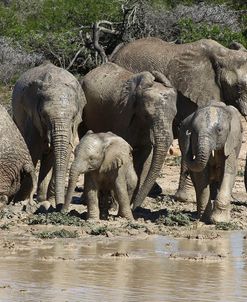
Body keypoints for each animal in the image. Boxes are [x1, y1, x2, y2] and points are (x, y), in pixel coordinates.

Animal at [12, 61, 86, 210]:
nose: (60, 207)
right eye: (44, 115)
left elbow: (65, 151)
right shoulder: (32, 117)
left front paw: (50, 203)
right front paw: (21, 202)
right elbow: (32, 150)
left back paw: (42, 200)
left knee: (49, 158)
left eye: (74, 116)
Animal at [80, 62, 177, 209]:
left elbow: (146, 157)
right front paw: (115, 205)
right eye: (147, 115)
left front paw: (130, 203)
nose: (135, 207)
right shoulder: (121, 115)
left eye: (174, 116)